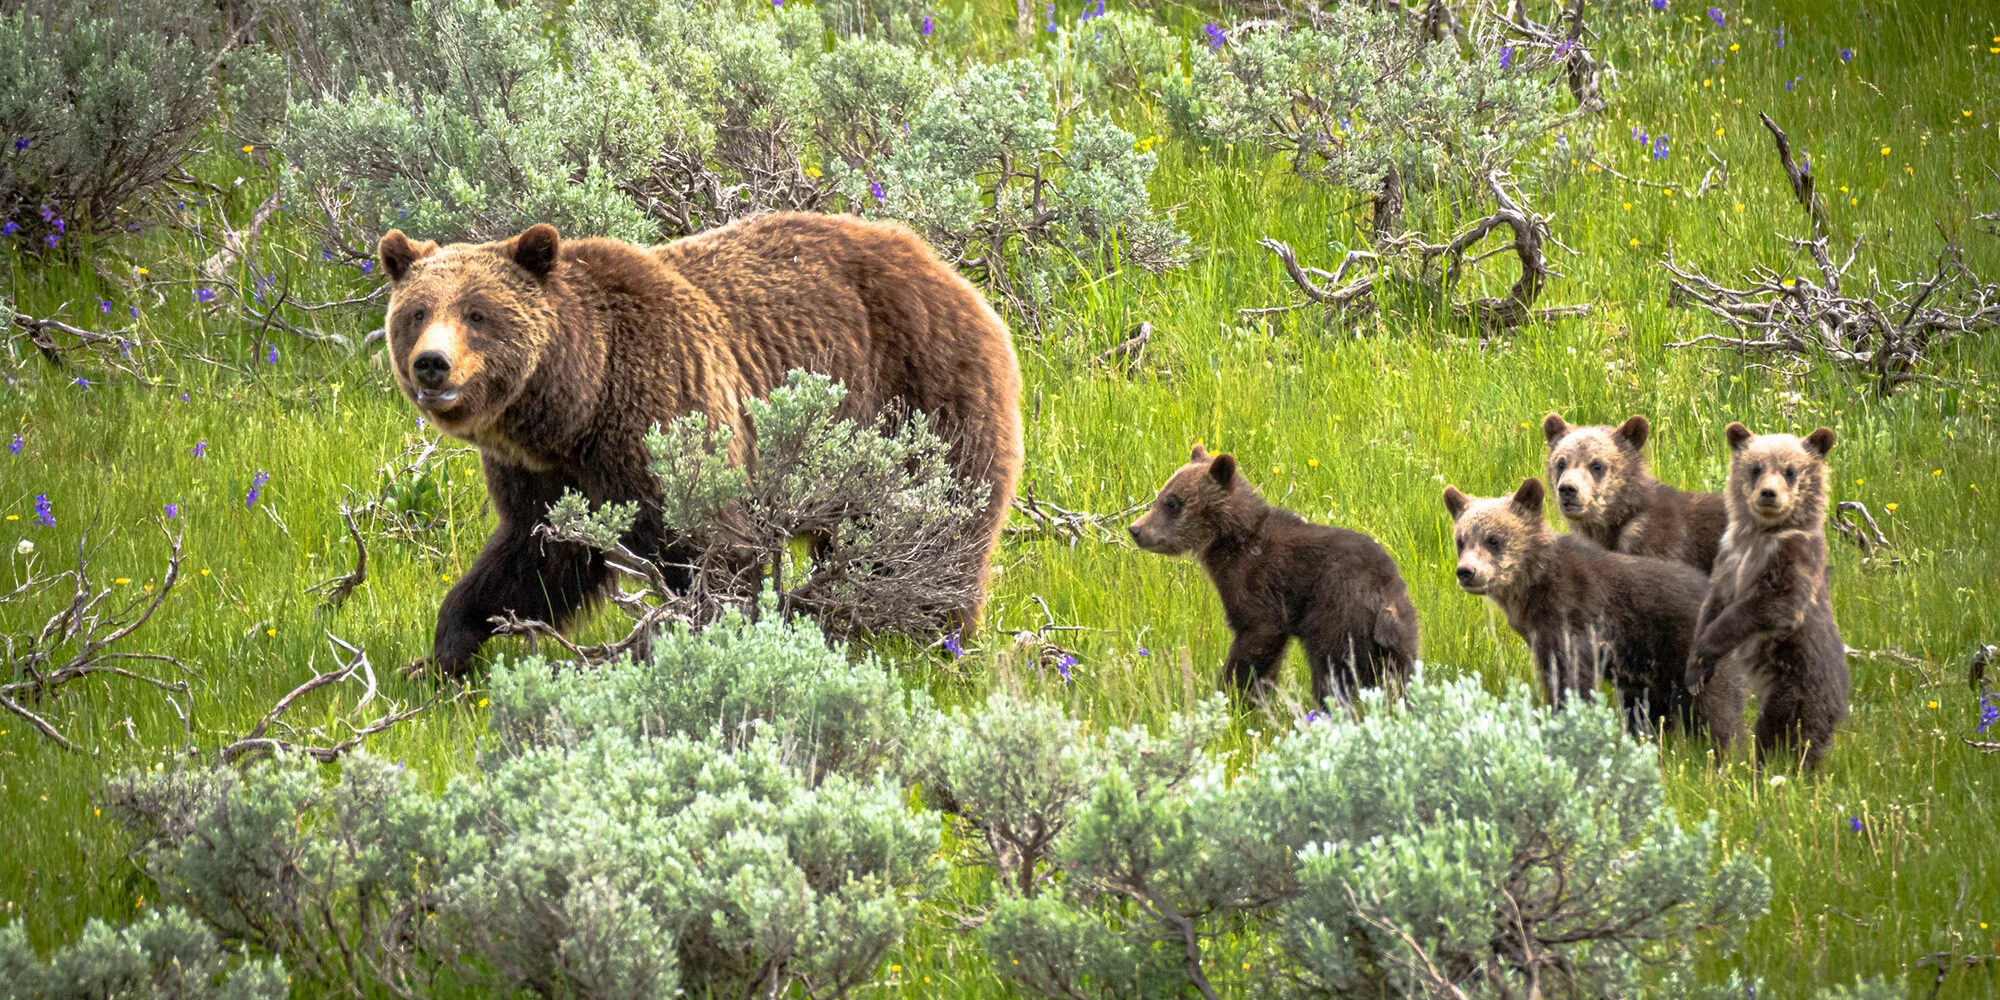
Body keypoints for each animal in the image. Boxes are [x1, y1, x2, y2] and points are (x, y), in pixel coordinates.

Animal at [376, 212, 1023, 675]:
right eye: (417, 312)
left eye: (477, 314)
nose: (432, 363)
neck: (577, 403)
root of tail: (956, 277)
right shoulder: (545, 475)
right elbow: (533, 557)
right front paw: (442, 654)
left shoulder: (666, 409)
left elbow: (717, 549)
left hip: (920, 399)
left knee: (933, 530)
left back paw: (926, 632)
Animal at [1127, 446, 1419, 713]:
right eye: (1160, 495)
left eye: (1172, 502)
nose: (1135, 529)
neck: (1232, 539)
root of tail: (1383, 599)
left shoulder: (1256, 581)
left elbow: (1258, 633)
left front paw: (1233, 695)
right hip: (1403, 632)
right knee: (1401, 679)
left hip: (1338, 615)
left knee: (1331, 673)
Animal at [1443, 478, 1740, 745]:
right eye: (1461, 540)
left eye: (1494, 539)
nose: (1466, 572)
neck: (1535, 590)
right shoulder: (1542, 637)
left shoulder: (1575, 617)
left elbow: (1574, 678)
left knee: (1715, 710)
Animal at [1684, 423, 1848, 770]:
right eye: (1756, 467)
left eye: (1790, 471)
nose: (1768, 493)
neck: (1761, 535)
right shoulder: (1728, 558)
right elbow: (1712, 606)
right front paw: (1695, 670)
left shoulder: (1792, 559)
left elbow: (1770, 605)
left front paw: (1706, 649)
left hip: (1797, 685)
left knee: (1786, 732)